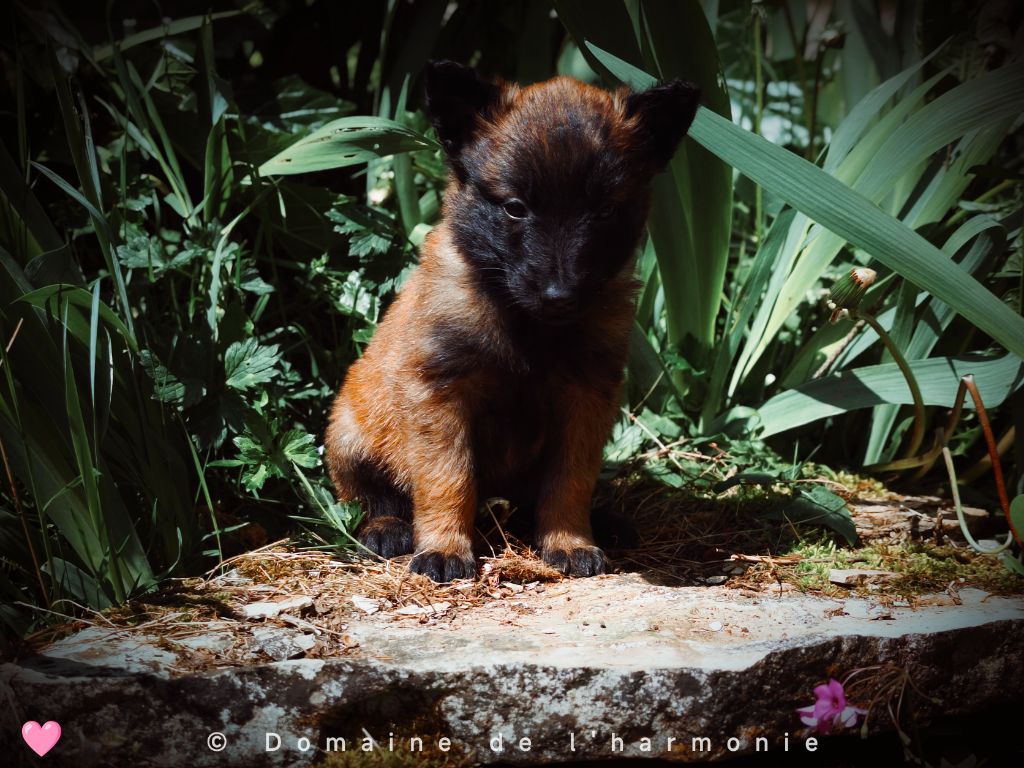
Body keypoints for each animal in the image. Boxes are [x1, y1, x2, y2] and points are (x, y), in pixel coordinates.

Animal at [324, 60, 699, 583]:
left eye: (604, 211)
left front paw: (569, 540)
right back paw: (386, 530)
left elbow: (570, 479)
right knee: (370, 499)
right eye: (515, 207)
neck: (529, 327)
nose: (560, 296)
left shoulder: (586, 398)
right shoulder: (439, 394)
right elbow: (448, 477)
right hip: (348, 434)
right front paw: (444, 547)